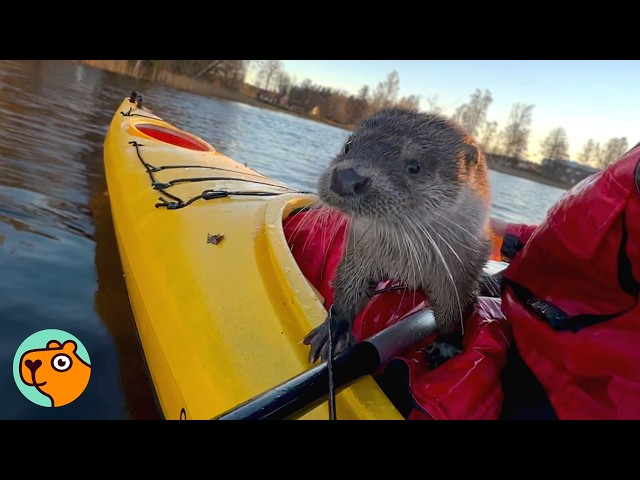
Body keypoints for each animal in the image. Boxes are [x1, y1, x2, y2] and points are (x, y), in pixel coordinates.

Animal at [303, 107, 491, 365]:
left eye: (414, 166)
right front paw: (334, 330)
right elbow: (348, 289)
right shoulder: (359, 254)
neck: (402, 261)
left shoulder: (457, 275)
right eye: (349, 146)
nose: (346, 178)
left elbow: (455, 312)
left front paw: (445, 346)